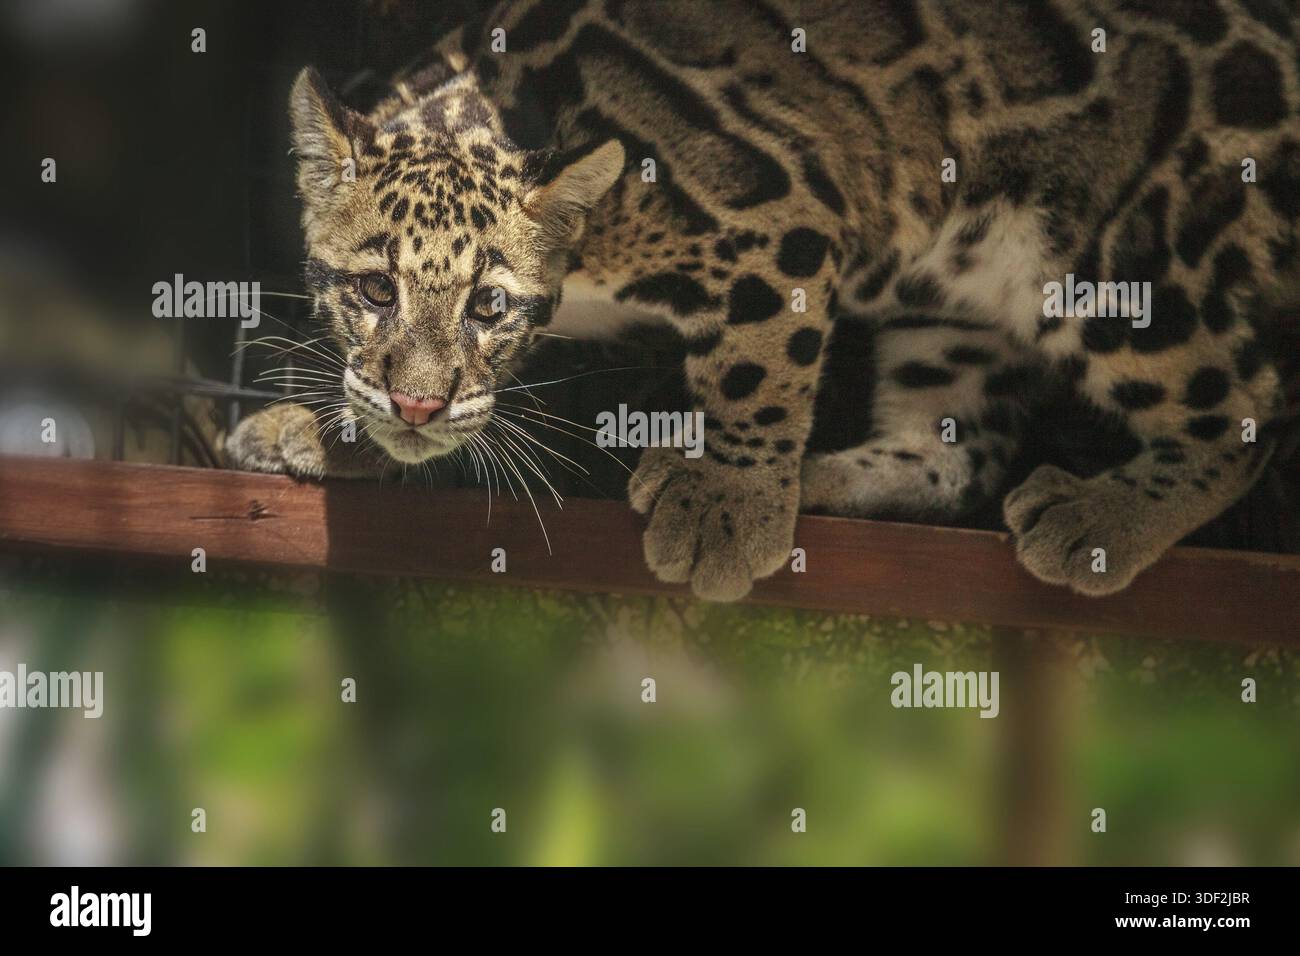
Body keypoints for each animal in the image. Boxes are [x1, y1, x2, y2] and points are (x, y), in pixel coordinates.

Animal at [227, 0, 1300, 601]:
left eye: (489, 306)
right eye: (373, 289)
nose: (415, 405)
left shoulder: (779, 212)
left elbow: (756, 368)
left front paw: (730, 507)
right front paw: (327, 428)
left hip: (1109, 257)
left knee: (1247, 408)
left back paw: (1101, 515)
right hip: (952, 285)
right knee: (959, 448)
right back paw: (826, 480)